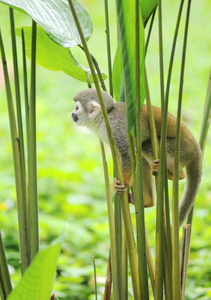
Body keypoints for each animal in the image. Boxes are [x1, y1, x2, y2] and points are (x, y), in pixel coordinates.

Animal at [71, 88, 203, 226]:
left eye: (77, 108)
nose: (72, 114)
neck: (104, 117)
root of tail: (196, 148)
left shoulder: (114, 127)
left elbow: (127, 153)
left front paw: (122, 184)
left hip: (182, 148)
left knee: (146, 146)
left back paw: (176, 174)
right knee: (141, 158)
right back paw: (148, 201)